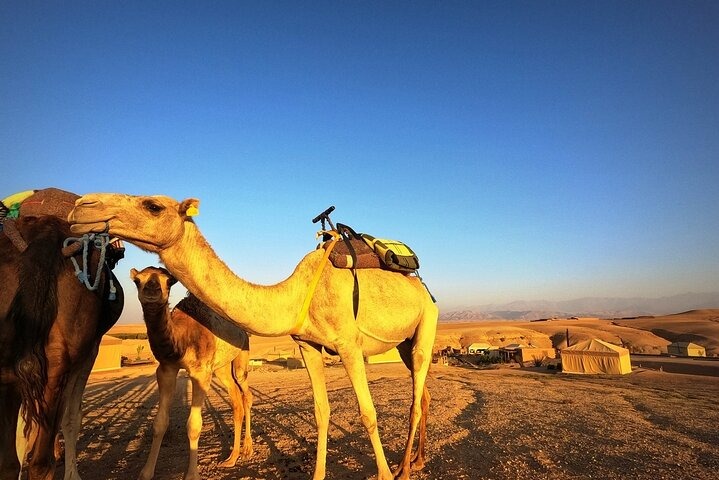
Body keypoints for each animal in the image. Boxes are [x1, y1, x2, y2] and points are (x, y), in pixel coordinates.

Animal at [1, 189, 124, 480]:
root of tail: (45, 233)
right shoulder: (91, 349)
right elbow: (71, 417)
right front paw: (72, 474)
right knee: (41, 461)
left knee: (10, 461)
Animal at [130, 266, 252, 480]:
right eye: (138, 280)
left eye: (168, 281)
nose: (152, 290)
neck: (181, 339)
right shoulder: (166, 369)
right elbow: (160, 423)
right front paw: (146, 472)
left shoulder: (201, 373)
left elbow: (194, 425)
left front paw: (192, 474)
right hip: (221, 369)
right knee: (236, 400)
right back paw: (231, 458)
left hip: (241, 354)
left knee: (246, 394)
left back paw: (247, 449)